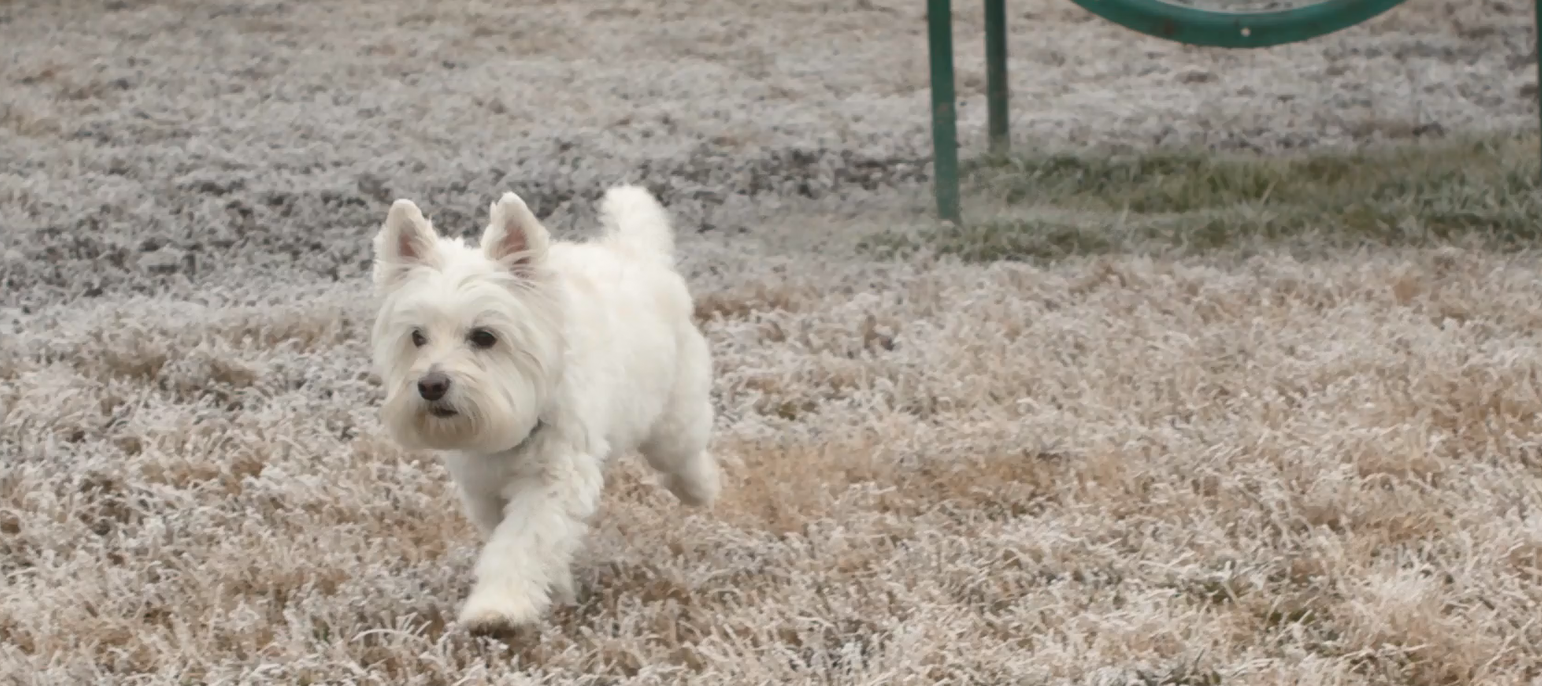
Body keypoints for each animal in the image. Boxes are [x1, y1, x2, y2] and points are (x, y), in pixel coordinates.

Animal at [368, 185, 721, 632]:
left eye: (484, 336)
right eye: (416, 337)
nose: (431, 386)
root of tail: (637, 252)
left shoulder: (553, 480)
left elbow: (521, 543)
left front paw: (497, 608)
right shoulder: (485, 490)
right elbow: (525, 543)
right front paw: (555, 592)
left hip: (673, 415)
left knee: (684, 454)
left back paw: (700, 488)